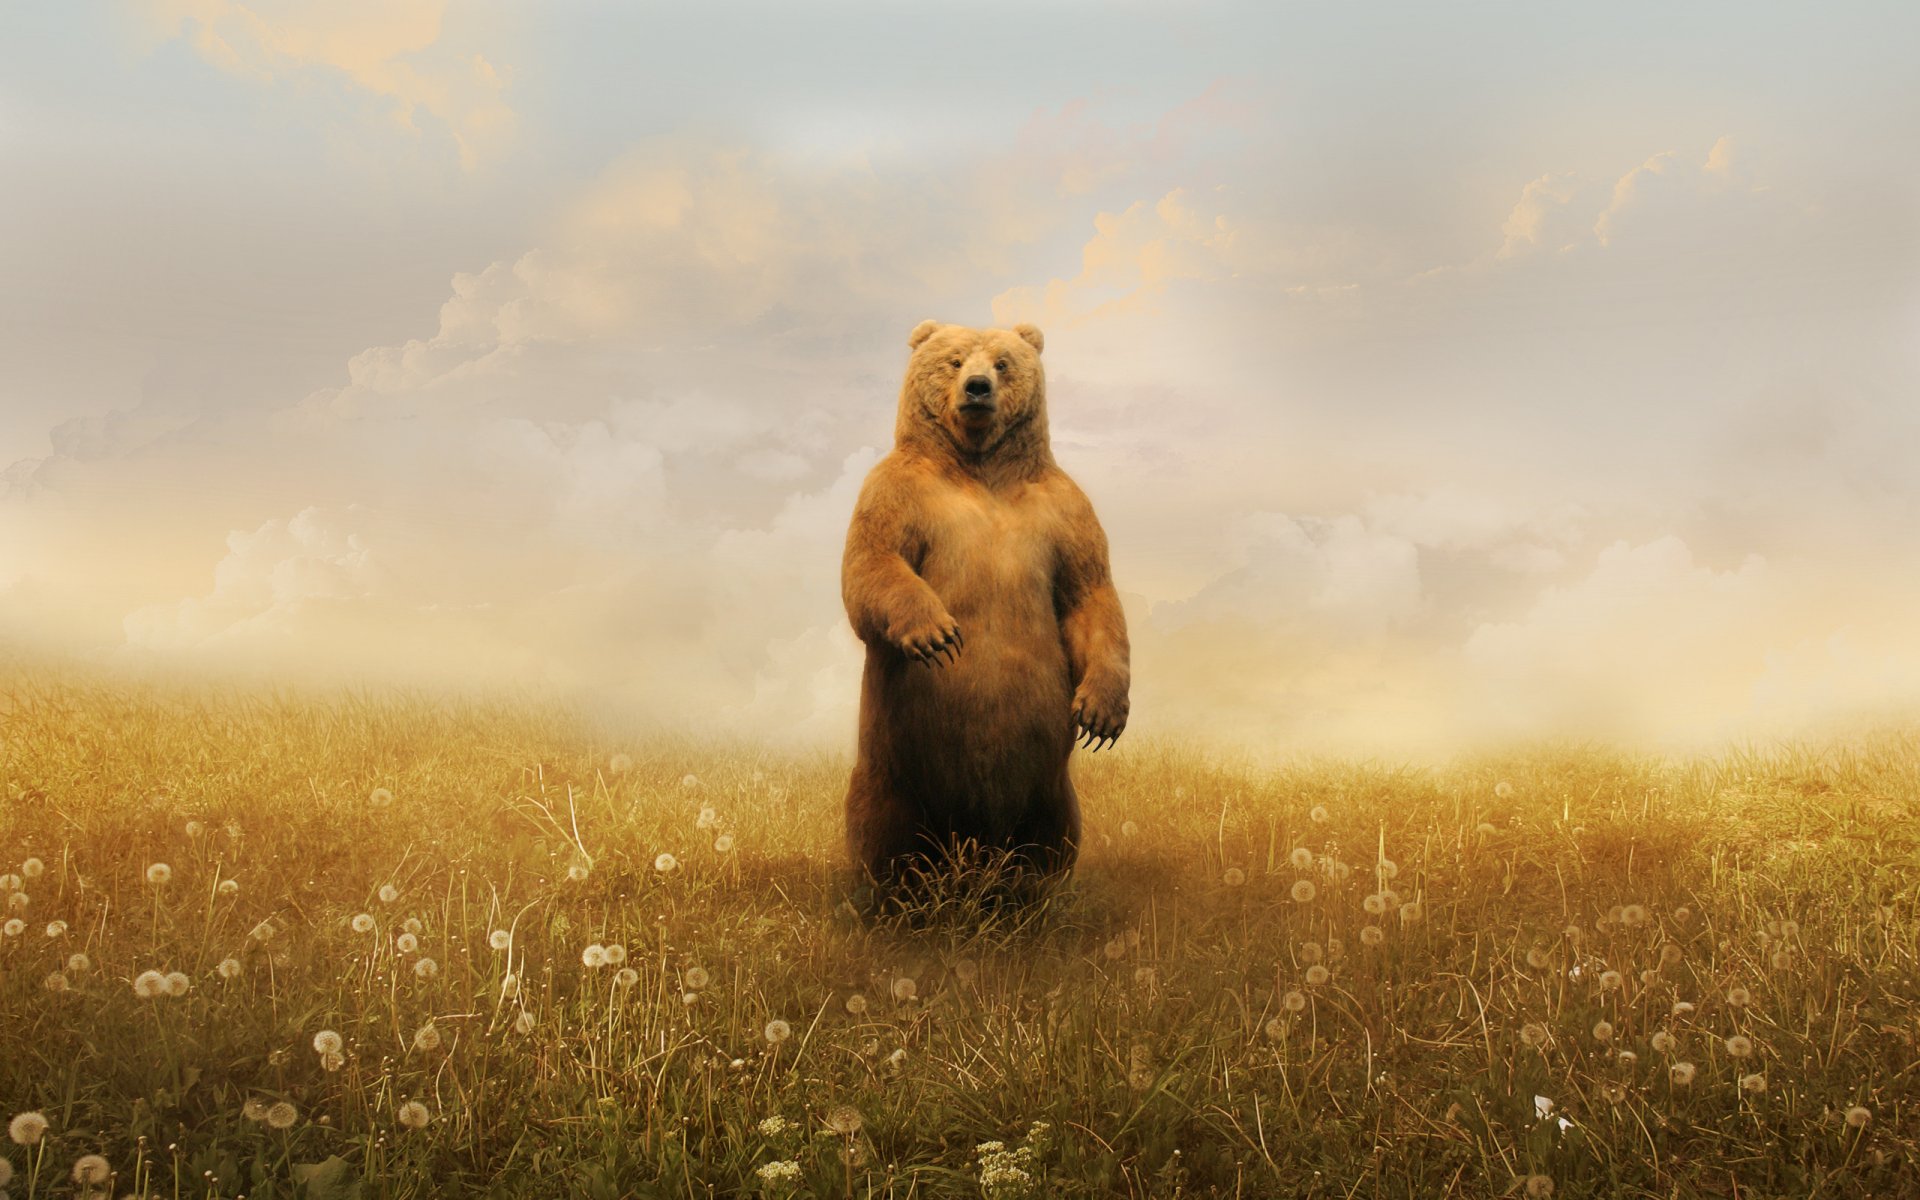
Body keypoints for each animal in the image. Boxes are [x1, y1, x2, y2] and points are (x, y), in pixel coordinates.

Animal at [840, 318, 1131, 892]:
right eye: (954, 360)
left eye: (1002, 362)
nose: (977, 388)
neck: (979, 465)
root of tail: (973, 844)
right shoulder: (897, 491)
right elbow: (872, 563)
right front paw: (937, 634)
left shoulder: (1064, 511)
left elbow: (1089, 593)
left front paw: (1101, 714)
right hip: (893, 771)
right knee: (884, 834)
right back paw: (894, 895)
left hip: (1048, 787)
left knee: (1052, 837)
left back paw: (1030, 892)